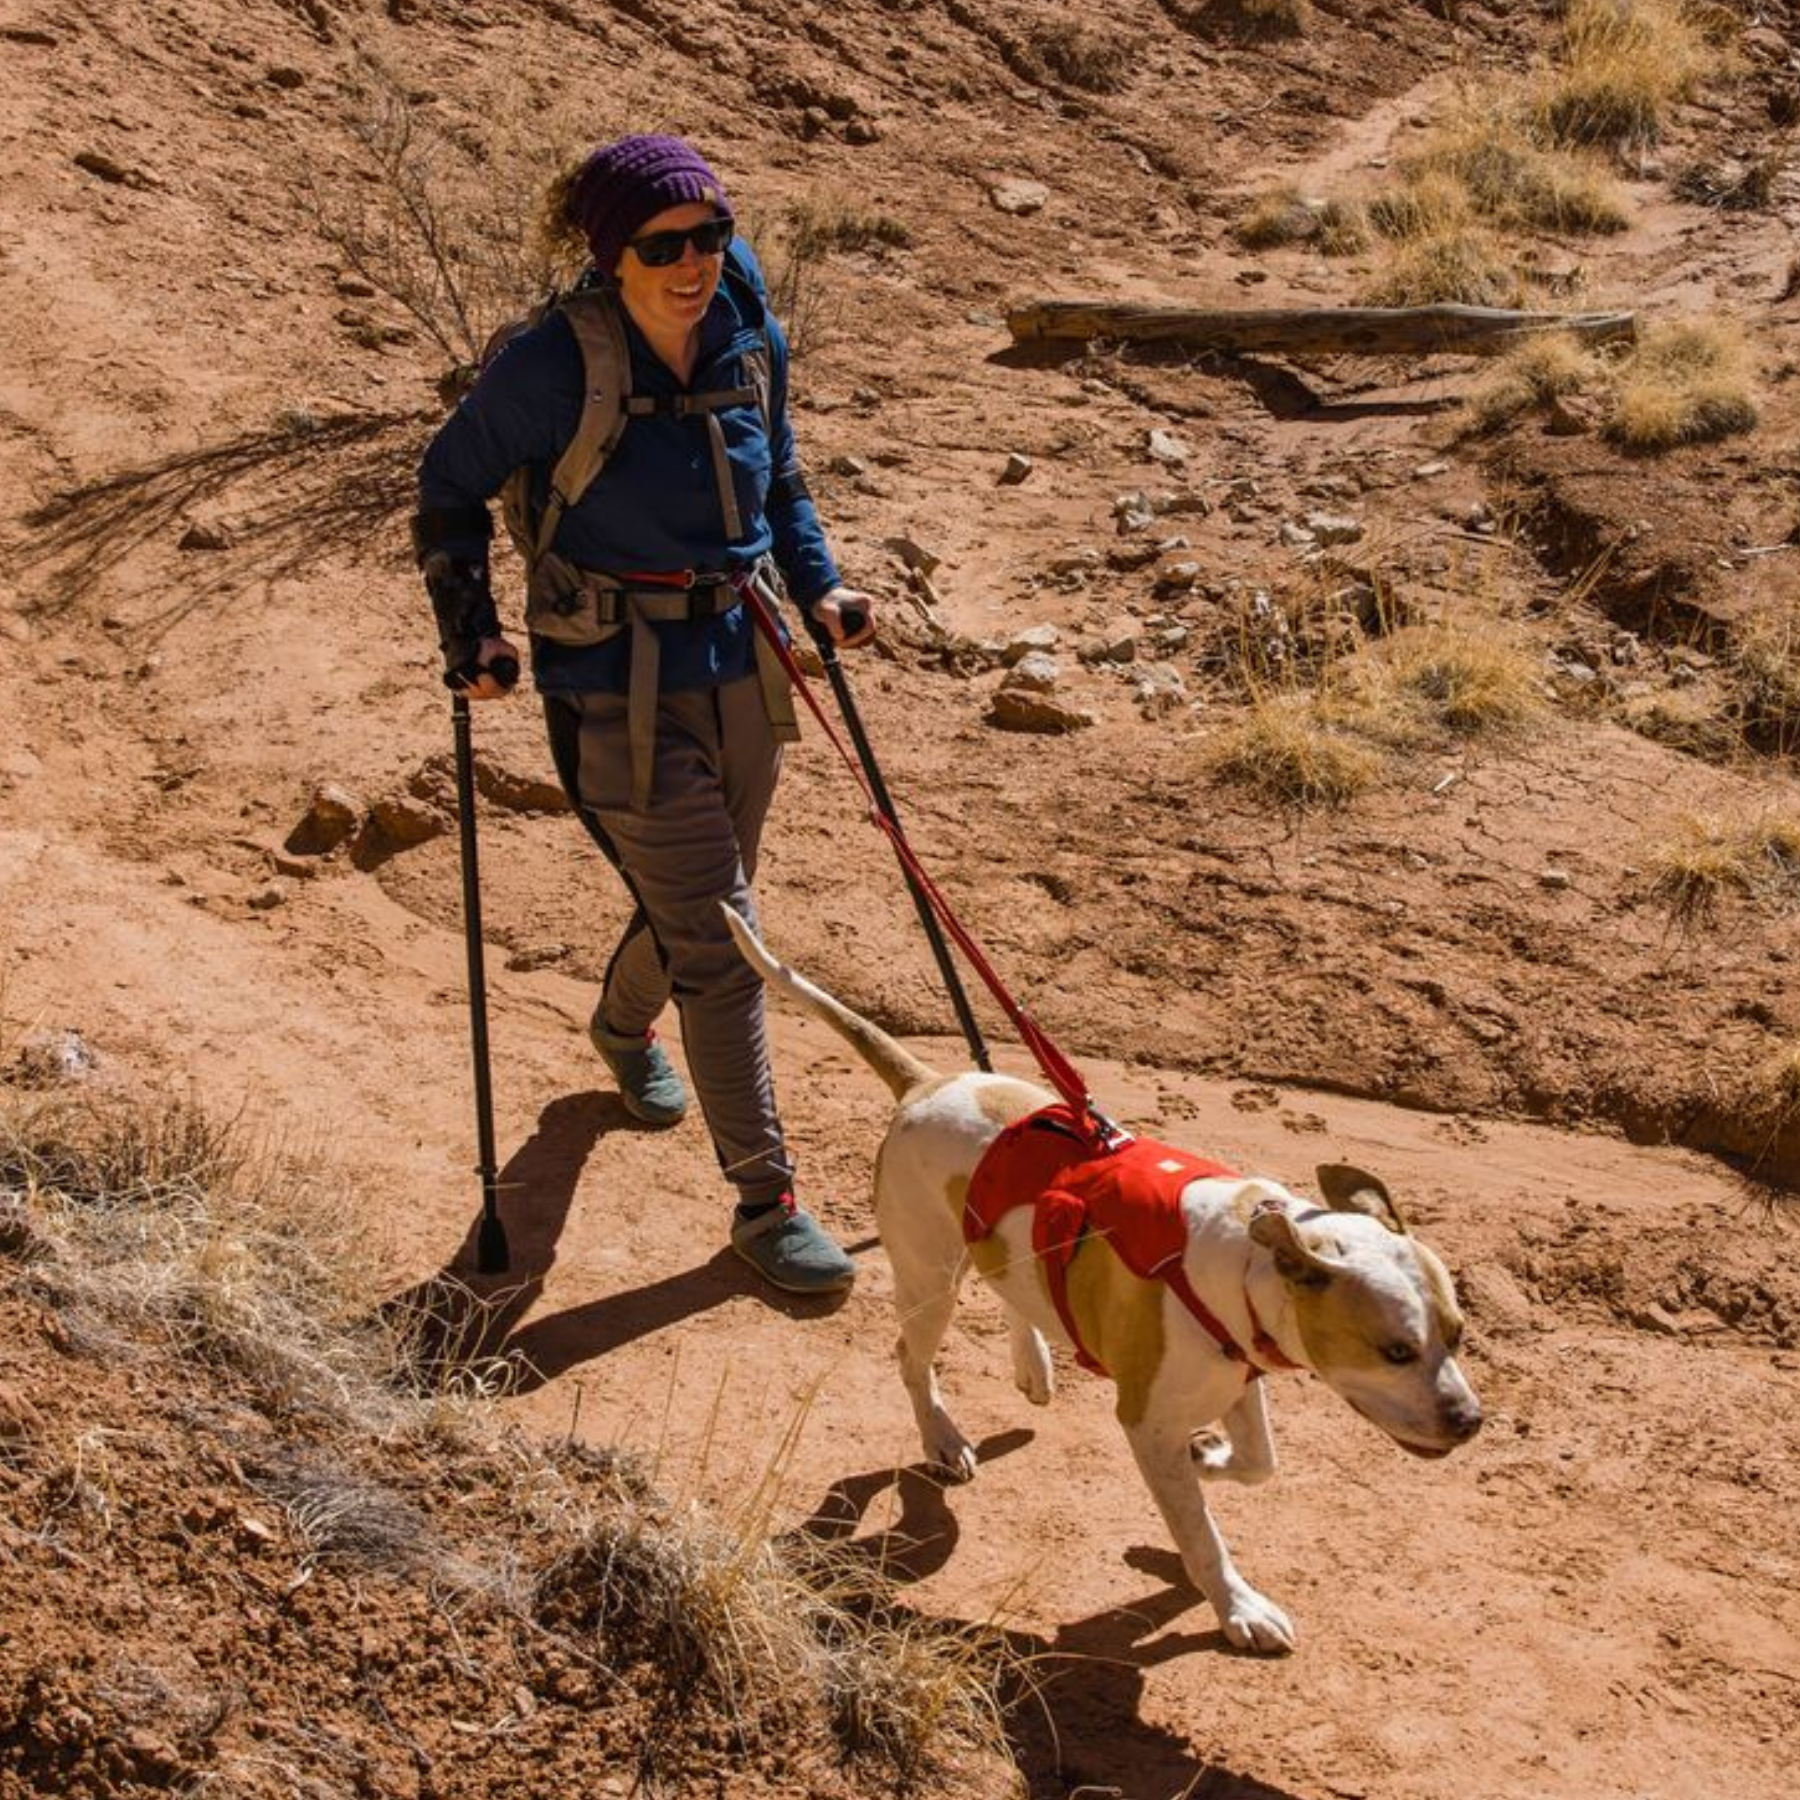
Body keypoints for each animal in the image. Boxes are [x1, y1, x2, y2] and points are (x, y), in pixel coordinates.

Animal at [723, 914, 1483, 1656]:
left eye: (1456, 1335)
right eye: (1395, 1351)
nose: (1471, 1421)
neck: (1246, 1262)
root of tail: (925, 1084)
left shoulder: (1238, 1375)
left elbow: (1258, 1462)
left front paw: (1210, 1457)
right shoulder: (1147, 1421)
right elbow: (1201, 1536)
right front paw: (1238, 1607)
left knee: (1011, 1283)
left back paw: (1032, 1361)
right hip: (929, 1275)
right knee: (912, 1357)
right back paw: (942, 1437)